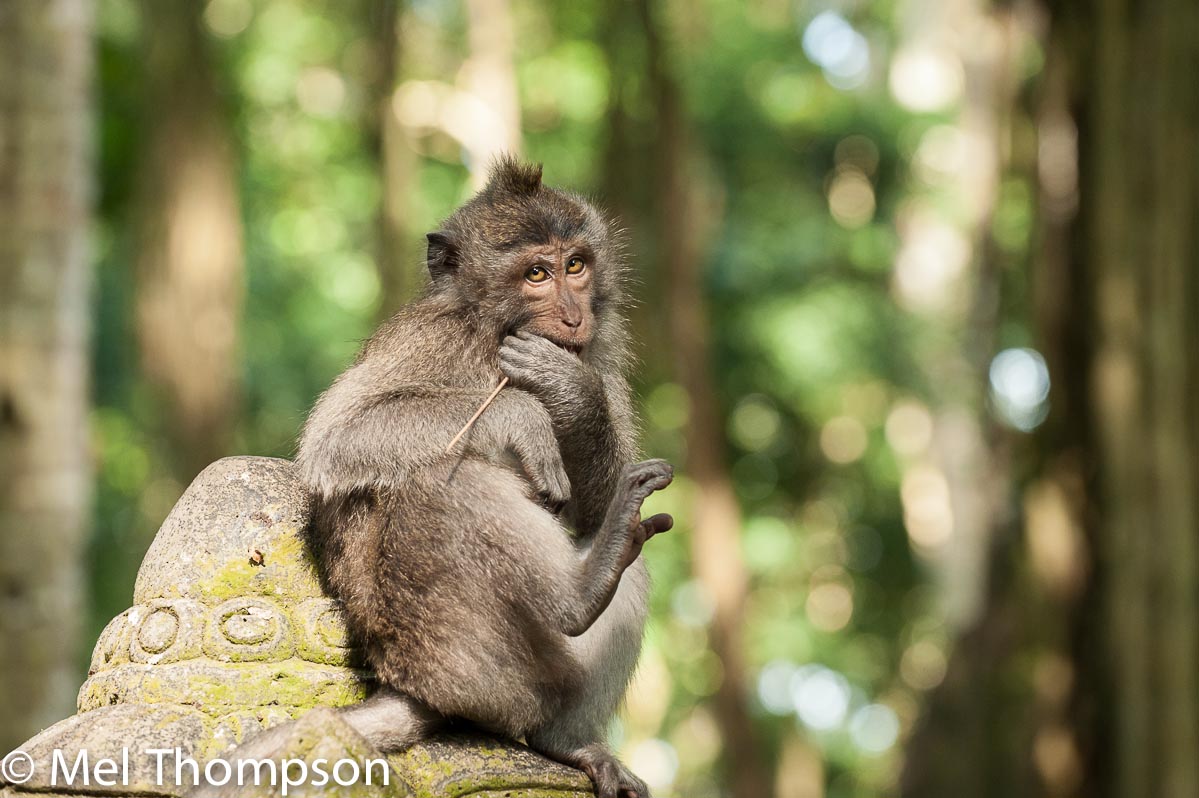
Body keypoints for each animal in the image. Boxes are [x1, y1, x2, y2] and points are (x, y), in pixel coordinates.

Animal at [275, 158, 671, 798]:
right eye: (536, 273)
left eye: (576, 265)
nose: (574, 316)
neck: (490, 334)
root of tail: (415, 686)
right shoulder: (432, 337)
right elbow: (338, 437)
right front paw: (524, 413)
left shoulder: (599, 356)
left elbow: (589, 502)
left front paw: (569, 390)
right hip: (472, 654)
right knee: (442, 476)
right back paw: (579, 594)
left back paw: (568, 736)